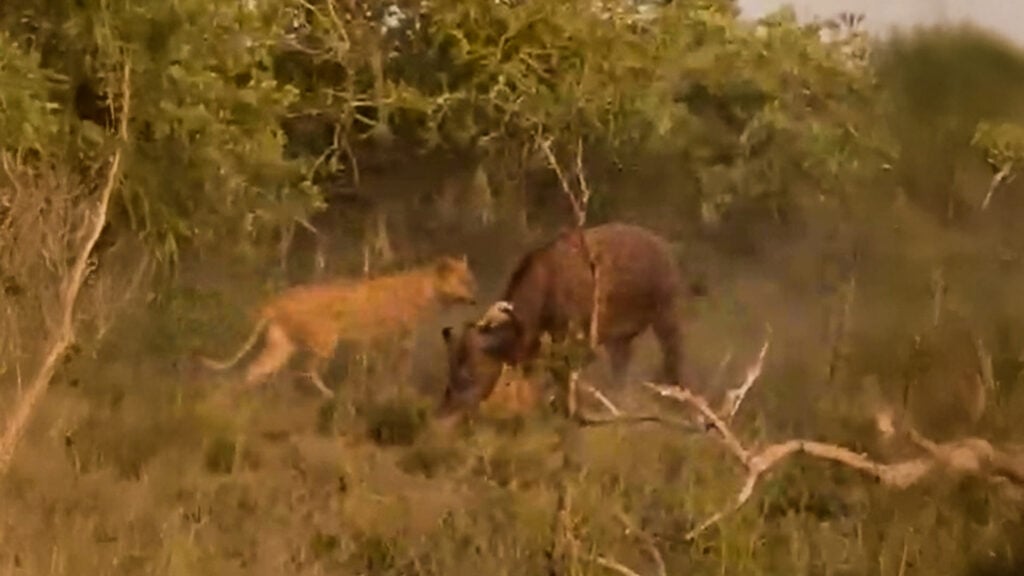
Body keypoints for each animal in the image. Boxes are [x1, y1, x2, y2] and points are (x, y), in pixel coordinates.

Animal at [197, 254, 478, 398]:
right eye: (463, 281)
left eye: (470, 280)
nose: (475, 298)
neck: (428, 288)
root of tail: (278, 300)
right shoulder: (396, 339)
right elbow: (396, 369)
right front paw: (393, 391)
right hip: (324, 341)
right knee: (307, 369)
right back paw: (327, 394)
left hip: (282, 346)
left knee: (255, 369)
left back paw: (243, 400)